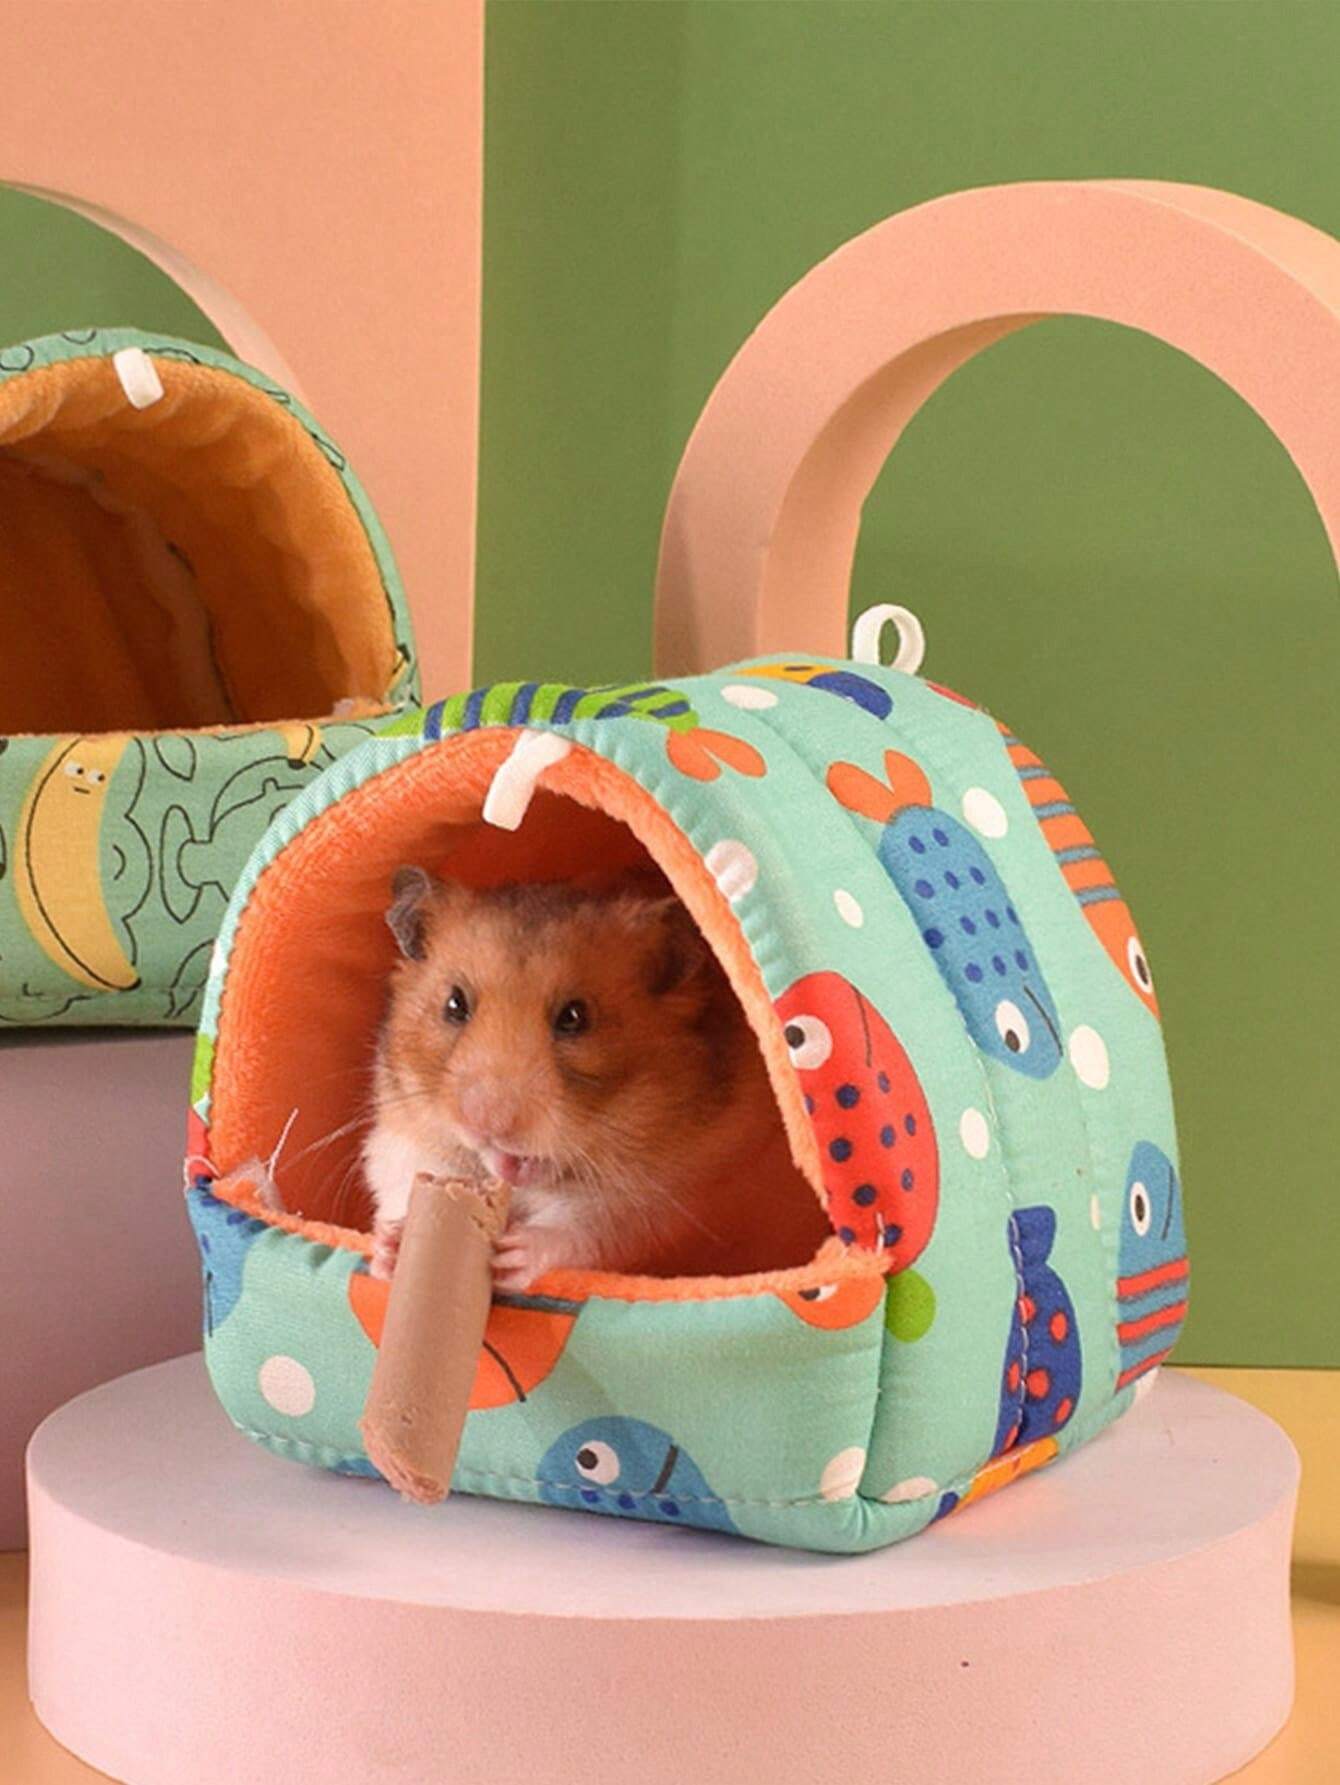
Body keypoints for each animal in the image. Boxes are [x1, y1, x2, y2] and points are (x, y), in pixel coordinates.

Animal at [363, 869, 786, 1289]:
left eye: (574, 1017)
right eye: (455, 1003)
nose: (486, 1122)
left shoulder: (656, 1199)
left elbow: (578, 1228)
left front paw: (510, 1257)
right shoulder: (400, 1148)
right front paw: (389, 1249)